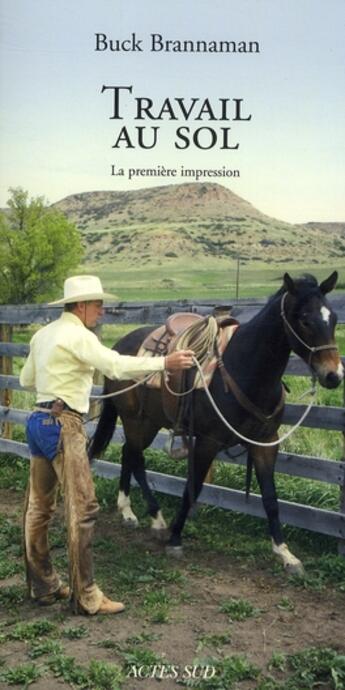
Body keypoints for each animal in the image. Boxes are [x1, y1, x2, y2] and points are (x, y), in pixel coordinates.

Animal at [88, 272, 342, 572]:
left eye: (334, 318)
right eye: (304, 319)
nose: (334, 375)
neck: (245, 368)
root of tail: (118, 346)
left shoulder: (265, 443)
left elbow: (270, 498)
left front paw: (285, 553)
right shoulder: (208, 441)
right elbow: (193, 487)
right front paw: (175, 538)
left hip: (146, 422)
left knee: (129, 453)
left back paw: (128, 511)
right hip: (136, 420)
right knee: (136, 458)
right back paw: (157, 520)